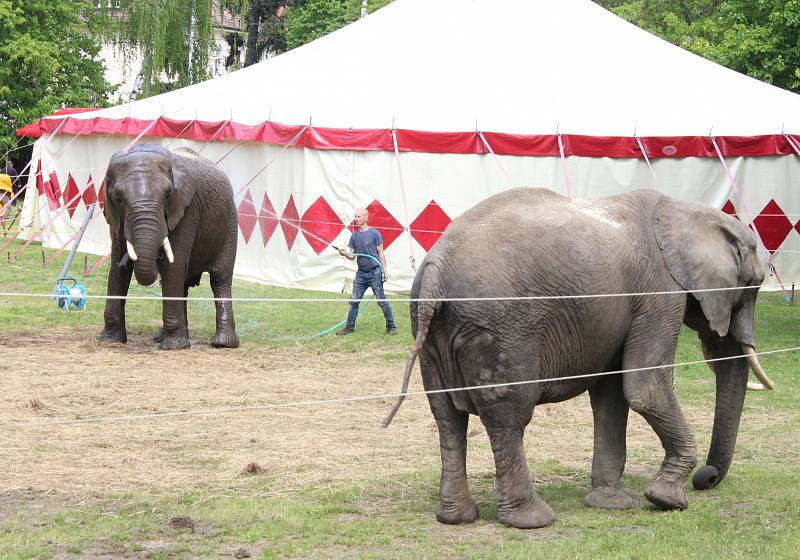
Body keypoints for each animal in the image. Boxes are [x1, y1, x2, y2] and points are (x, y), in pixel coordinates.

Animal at [98, 142, 239, 350]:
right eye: (118, 198)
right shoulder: (115, 217)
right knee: (183, 283)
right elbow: (117, 268)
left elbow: (174, 265)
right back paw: (162, 336)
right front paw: (110, 341)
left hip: (230, 222)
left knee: (220, 278)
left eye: (168, 195)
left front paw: (173, 347)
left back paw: (222, 343)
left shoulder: (187, 209)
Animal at [384, 188, 772, 528]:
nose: (707, 477)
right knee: (508, 416)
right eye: (753, 285)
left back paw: (455, 518)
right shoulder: (659, 294)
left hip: (430, 329)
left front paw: (610, 504)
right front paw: (667, 500)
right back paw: (532, 520)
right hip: (500, 329)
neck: (684, 210)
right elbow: (645, 387)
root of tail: (436, 267)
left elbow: (612, 395)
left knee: (447, 417)